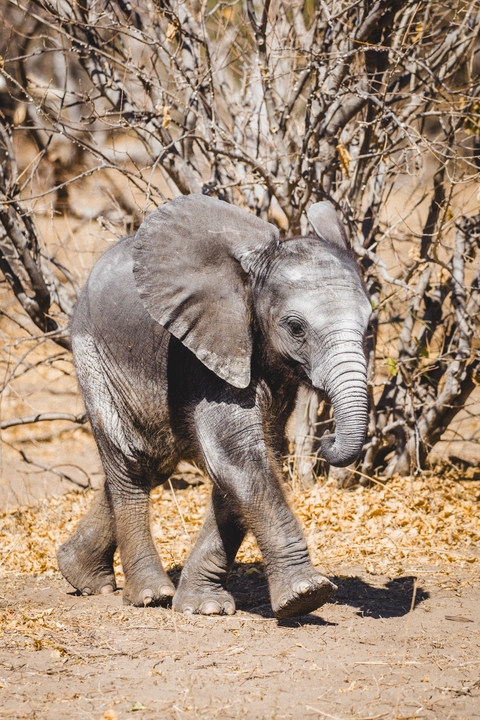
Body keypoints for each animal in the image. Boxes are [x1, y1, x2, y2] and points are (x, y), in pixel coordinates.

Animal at [57, 193, 371, 619]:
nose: (326, 441)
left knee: (155, 462)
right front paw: (307, 595)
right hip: (91, 351)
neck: (252, 277)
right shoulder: (205, 348)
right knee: (131, 459)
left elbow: (250, 458)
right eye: (296, 328)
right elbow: (237, 455)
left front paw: (204, 606)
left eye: (368, 326)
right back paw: (149, 595)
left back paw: (82, 576)